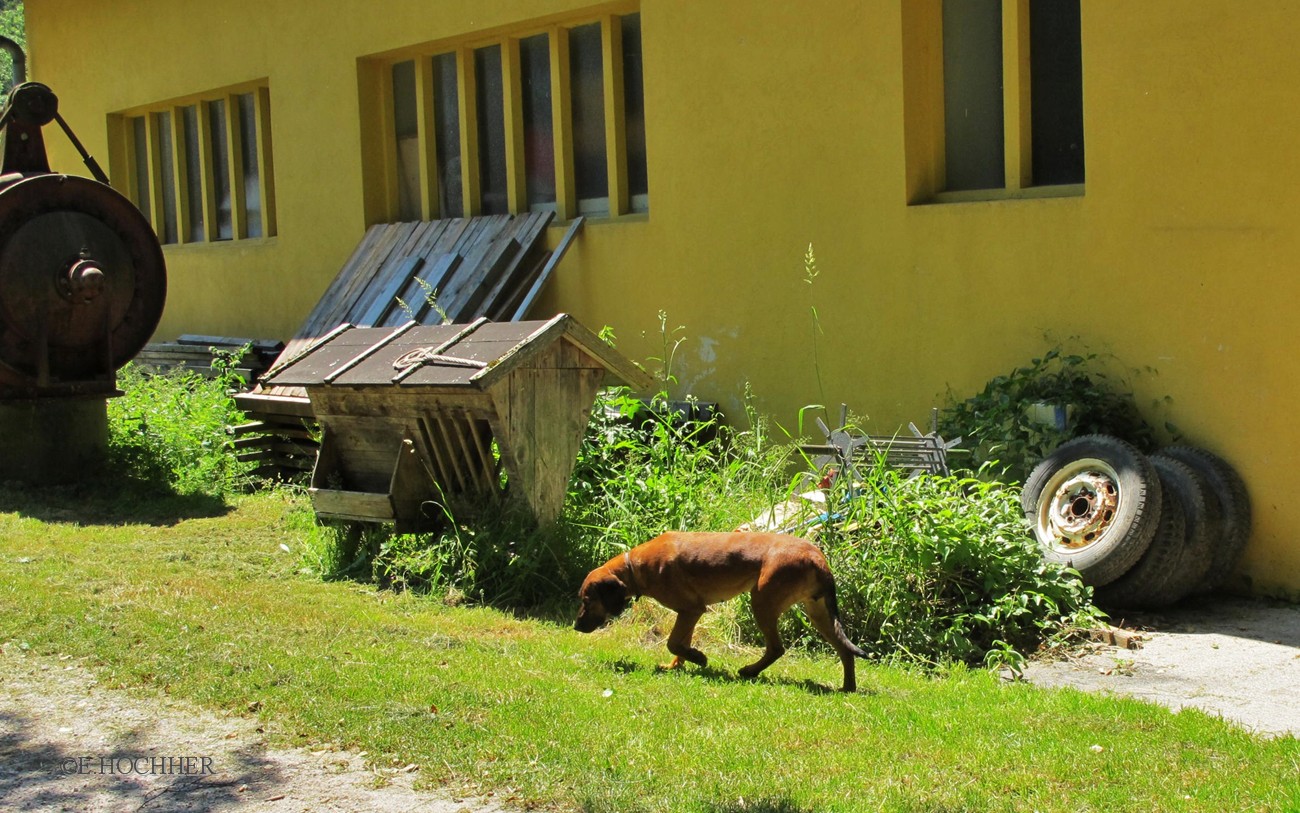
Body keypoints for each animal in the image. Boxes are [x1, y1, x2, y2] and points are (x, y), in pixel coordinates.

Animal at [574, 533, 868, 692]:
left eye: (587, 600)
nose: (575, 627)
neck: (634, 567)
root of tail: (818, 557)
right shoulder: (689, 613)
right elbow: (680, 644)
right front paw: (677, 665)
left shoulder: (691, 609)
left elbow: (673, 643)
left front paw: (698, 658)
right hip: (818, 612)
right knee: (845, 650)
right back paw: (847, 687)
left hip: (762, 602)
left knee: (776, 648)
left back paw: (749, 671)